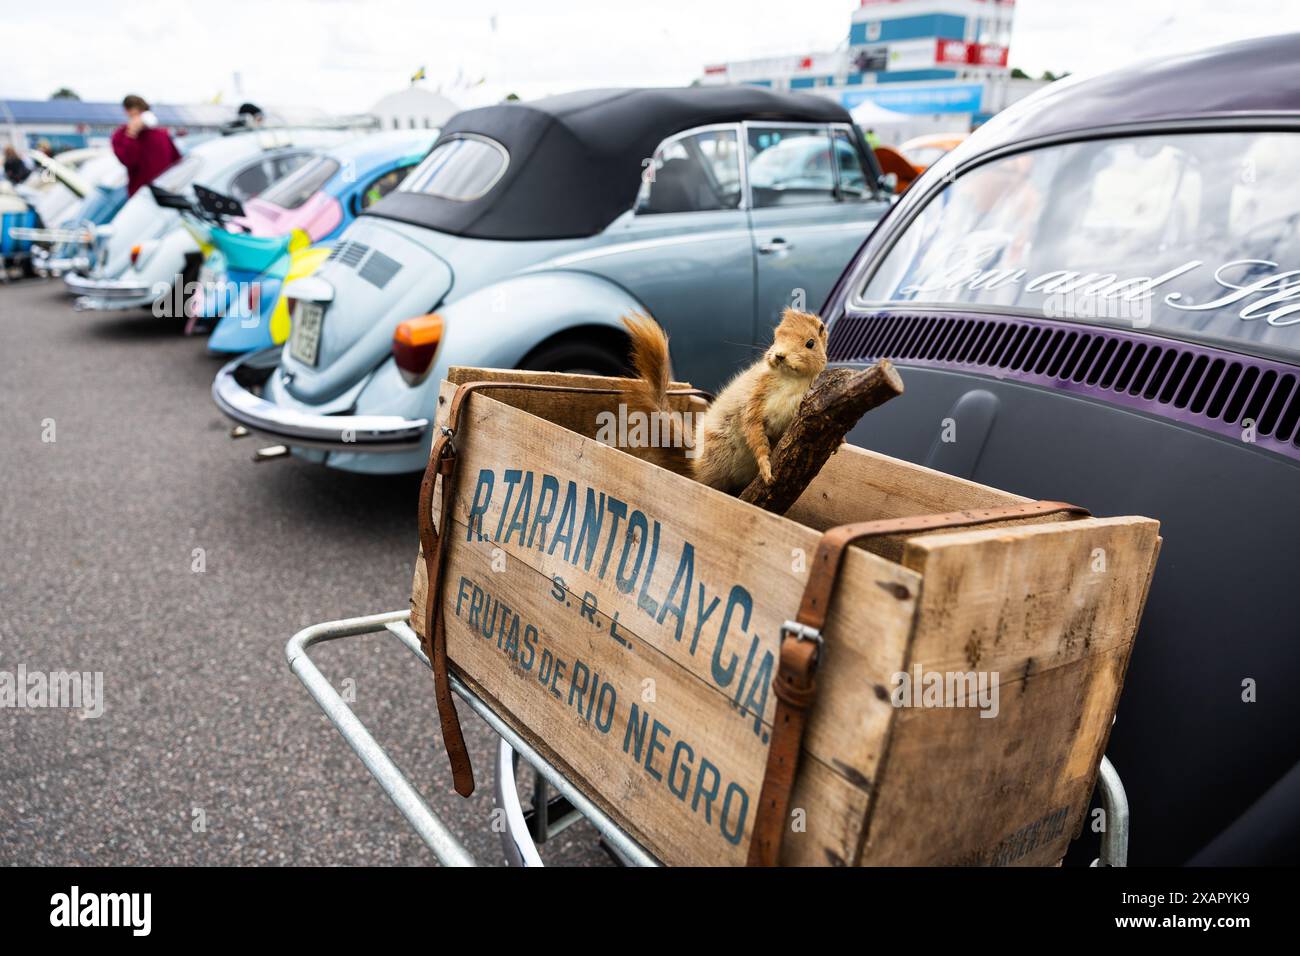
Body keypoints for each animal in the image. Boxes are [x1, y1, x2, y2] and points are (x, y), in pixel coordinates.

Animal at [621, 310, 826, 494]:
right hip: (717, 459)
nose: (780, 355)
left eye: (811, 343)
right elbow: (754, 431)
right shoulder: (754, 397)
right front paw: (766, 467)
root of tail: (695, 459)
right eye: (775, 337)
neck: (791, 380)